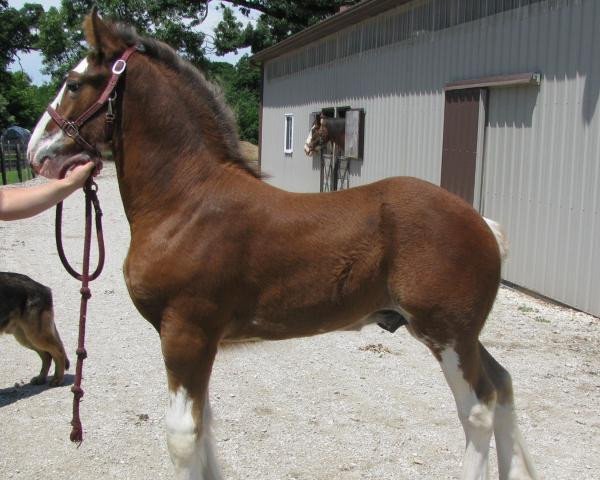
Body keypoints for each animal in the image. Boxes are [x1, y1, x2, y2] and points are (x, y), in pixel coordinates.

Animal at [28, 11, 540, 480]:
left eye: (74, 83)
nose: (35, 152)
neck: (186, 202)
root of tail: (480, 221)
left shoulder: (185, 333)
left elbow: (183, 435)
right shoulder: (200, 343)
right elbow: (204, 426)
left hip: (447, 333)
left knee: (478, 409)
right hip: (461, 334)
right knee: (503, 385)